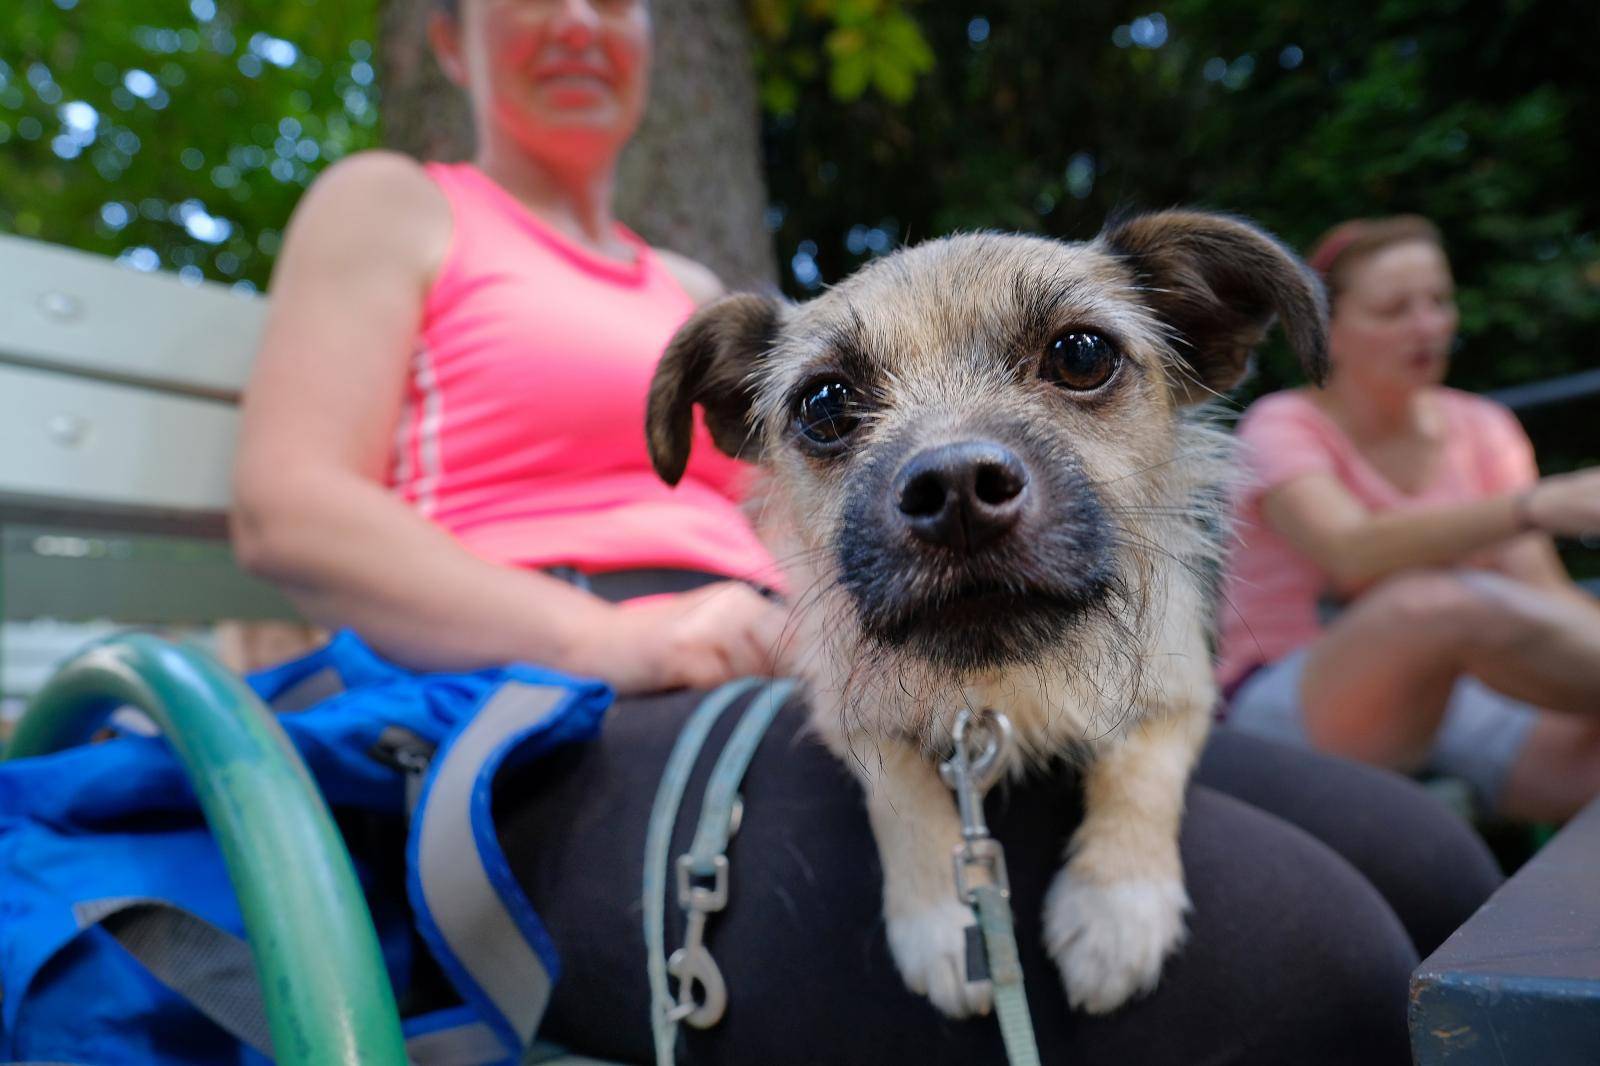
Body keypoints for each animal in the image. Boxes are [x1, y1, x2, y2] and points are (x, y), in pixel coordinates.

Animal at [646, 208, 1324, 1011]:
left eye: (1083, 354)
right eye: (825, 403)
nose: (957, 489)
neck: (998, 681)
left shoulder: (1182, 687)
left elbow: (1141, 769)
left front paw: (1117, 906)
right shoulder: (851, 717)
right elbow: (900, 794)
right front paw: (943, 922)